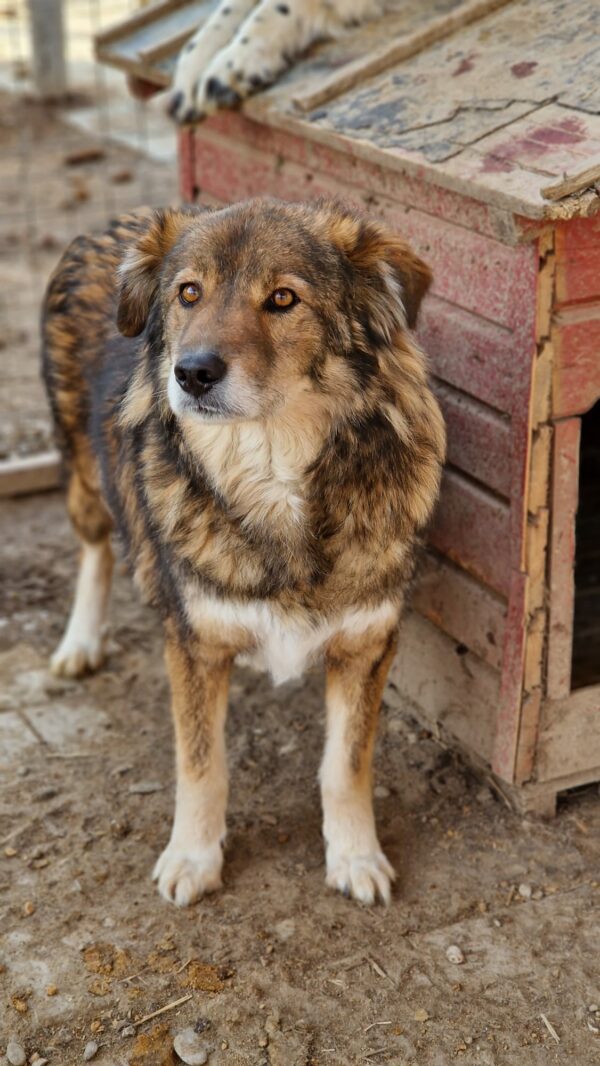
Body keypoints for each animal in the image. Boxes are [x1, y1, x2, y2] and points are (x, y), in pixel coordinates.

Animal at [43, 198, 445, 908]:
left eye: (283, 299)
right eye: (188, 294)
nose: (193, 373)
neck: (272, 473)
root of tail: (114, 218)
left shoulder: (367, 642)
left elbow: (346, 765)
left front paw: (355, 856)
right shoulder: (194, 644)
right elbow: (202, 765)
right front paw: (193, 858)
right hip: (83, 474)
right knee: (96, 549)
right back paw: (81, 643)